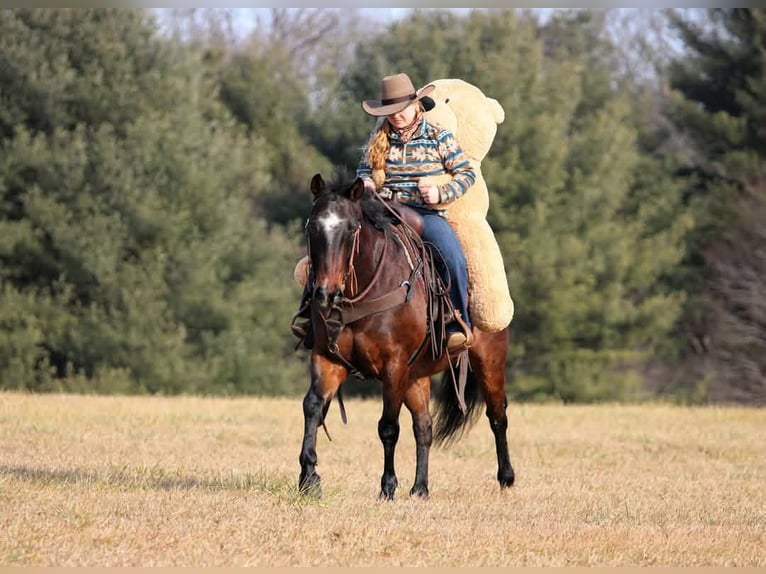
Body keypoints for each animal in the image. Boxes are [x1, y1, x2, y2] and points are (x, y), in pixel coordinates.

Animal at [297, 172, 515, 500]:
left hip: (489, 361)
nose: (325, 293)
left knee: (497, 416)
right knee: (424, 427)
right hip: (417, 377)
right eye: (312, 226)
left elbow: (388, 426)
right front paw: (308, 477)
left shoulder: (394, 366)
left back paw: (506, 478)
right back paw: (420, 488)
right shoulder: (327, 358)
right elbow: (312, 407)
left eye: (351, 228)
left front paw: (387, 486)